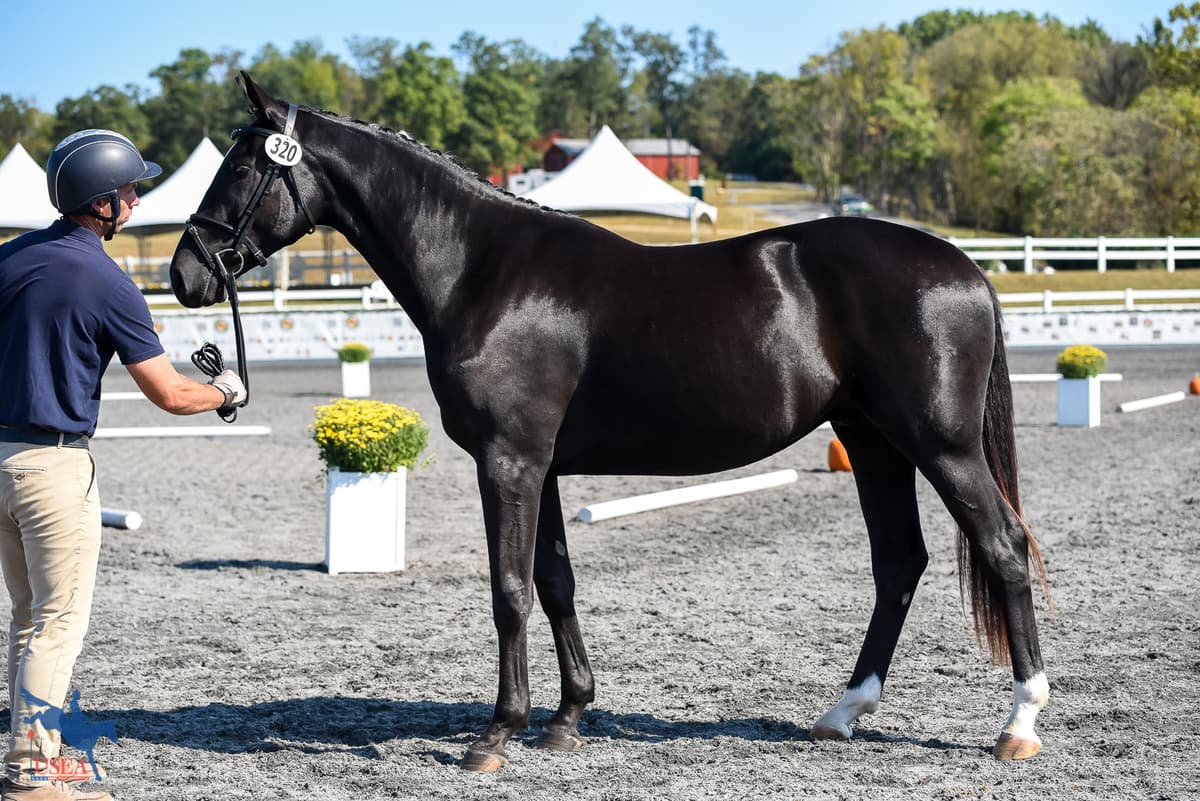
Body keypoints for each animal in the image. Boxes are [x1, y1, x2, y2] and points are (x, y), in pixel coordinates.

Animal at [170, 72, 1050, 771]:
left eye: (242, 165)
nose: (185, 273)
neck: (483, 268)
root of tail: (965, 268)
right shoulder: (545, 466)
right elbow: (556, 581)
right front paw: (566, 718)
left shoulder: (509, 460)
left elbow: (510, 590)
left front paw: (498, 732)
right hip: (874, 443)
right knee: (899, 562)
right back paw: (843, 712)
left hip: (941, 445)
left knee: (1004, 547)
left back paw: (1019, 722)